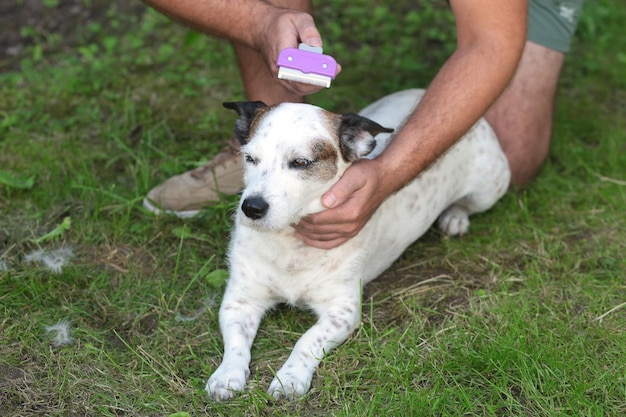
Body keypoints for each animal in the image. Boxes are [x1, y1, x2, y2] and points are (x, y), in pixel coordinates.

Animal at [204, 88, 508, 400]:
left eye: (300, 162)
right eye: (249, 158)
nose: (251, 208)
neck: (291, 245)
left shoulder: (342, 312)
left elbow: (307, 340)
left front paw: (289, 377)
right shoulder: (240, 301)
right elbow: (236, 345)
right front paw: (227, 375)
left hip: (489, 188)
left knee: (467, 205)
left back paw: (455, 217)